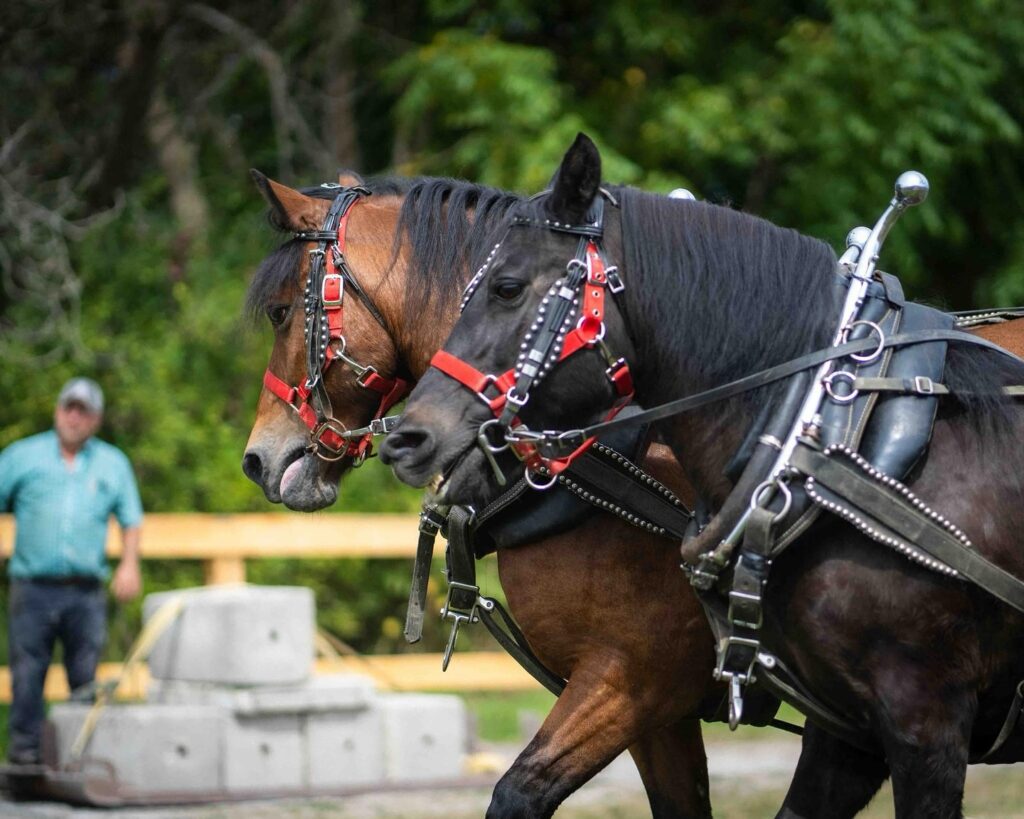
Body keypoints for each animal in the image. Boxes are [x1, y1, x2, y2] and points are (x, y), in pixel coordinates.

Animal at [380, 136, 1024, 818]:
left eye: (506, 288)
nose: (407, 438)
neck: (831, 431)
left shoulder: (916, 716)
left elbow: (520, 791)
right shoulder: (835, 728)